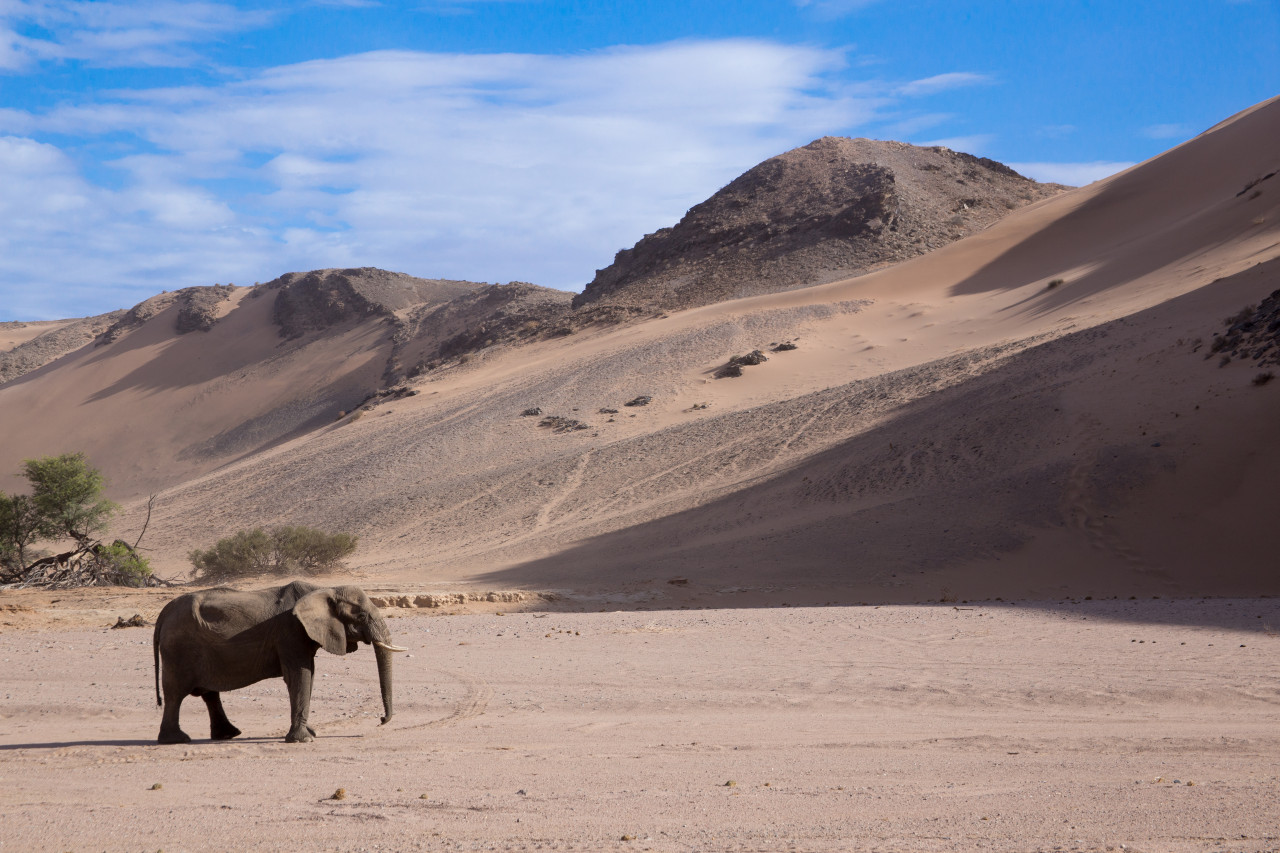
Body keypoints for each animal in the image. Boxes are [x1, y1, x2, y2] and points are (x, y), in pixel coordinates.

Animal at [152, 581, 407, 742]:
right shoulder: (290, 631)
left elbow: (308, 675)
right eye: (361, 616)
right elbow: (300, 675)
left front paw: (310, 732)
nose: (381, 720)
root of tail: (164, 612)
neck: (324, 589)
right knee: (175, 693)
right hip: (178, 649)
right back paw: (176, 740)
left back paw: (227, 735)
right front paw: (303, 740)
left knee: (208, 693)